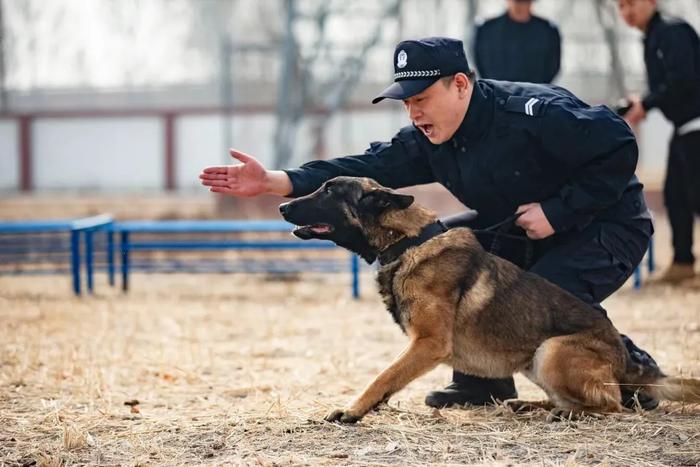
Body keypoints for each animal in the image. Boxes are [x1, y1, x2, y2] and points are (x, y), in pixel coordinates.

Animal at [278, 176, 700, 424]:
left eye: (329, 190)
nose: (282, 206)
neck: (410, 241)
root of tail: (626, 363)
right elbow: (390, 378)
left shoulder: (428, 343)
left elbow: (383, 375)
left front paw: (352, 410)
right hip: (535, 359)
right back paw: (531, 406)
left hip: (551, 350)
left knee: (610, 404)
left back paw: (569, 414)